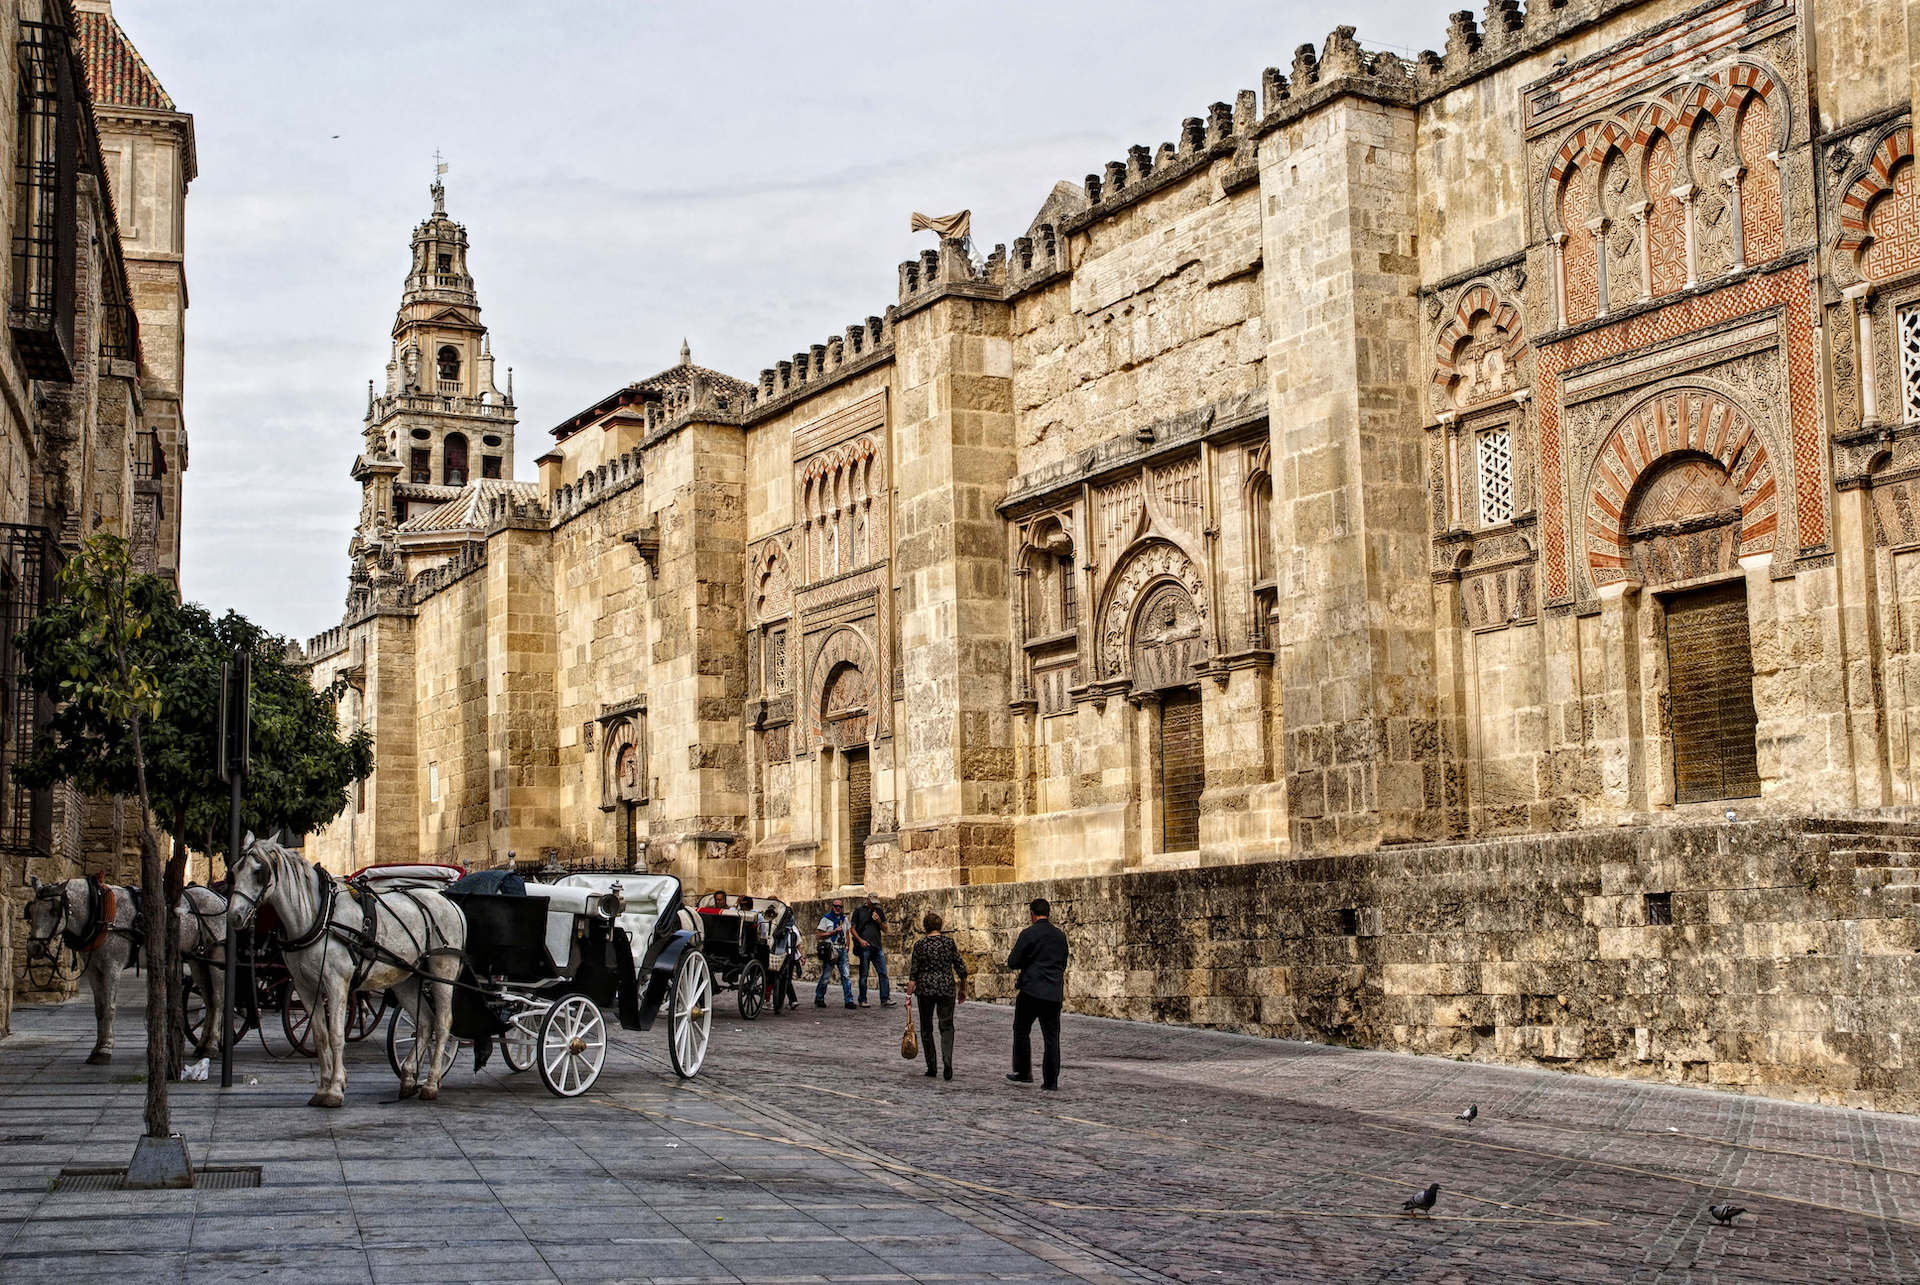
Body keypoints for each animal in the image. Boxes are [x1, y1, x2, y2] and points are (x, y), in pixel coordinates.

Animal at [23, 872, 144, 1060]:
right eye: (31, 910)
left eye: (53, 910)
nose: (34, 947)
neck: (101, 913)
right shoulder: (94, 970)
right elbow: (99, 1008)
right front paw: (97, 1047)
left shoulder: (112, 968)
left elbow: (109, 1007)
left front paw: (105, 1050)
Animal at [222, 833, 462, 1106]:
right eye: (234, 871)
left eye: (258, 872)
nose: (234, 917)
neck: (319, 915)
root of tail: (450, 902)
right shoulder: (305, 987)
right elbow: (320, 1035)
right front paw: (323, 1088)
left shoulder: (336, 983)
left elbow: (337, 1034)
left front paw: (336, 1089)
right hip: (406, 978)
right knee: (424, 1023)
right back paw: (410, 1077)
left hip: (443, 972)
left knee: (443, 1023)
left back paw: (431, 1083)